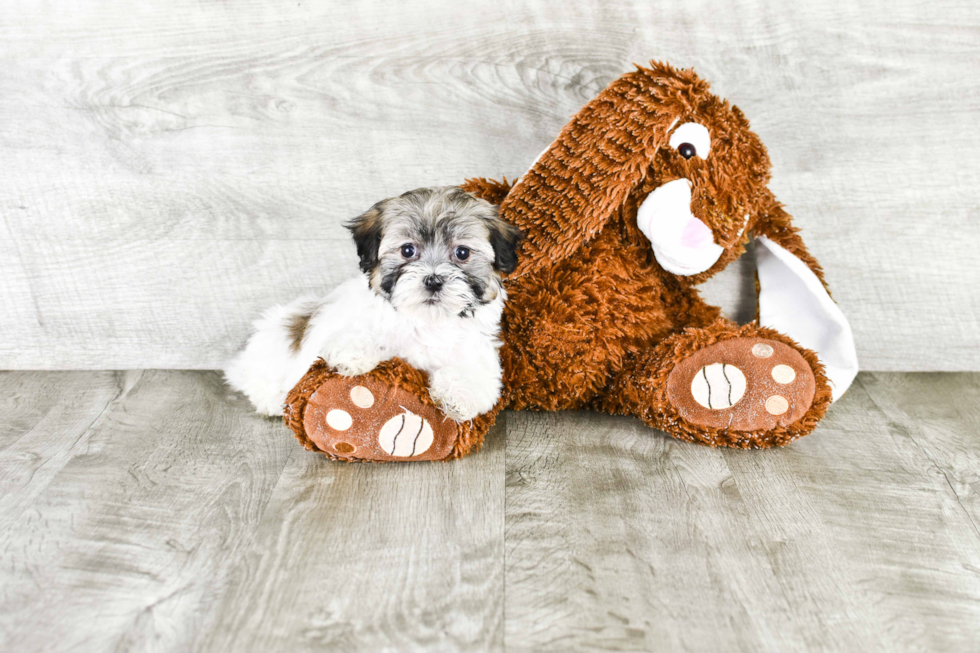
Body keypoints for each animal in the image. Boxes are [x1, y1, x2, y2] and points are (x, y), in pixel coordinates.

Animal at [227, 187, 524, 422]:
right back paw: (273, 402)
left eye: (462, 253)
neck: (427, 320)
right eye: (407, 250)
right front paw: (355, 355)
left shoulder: (476, 350)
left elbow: (474, 374)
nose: (433, 280)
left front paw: (459, 396)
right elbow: (356, 339)